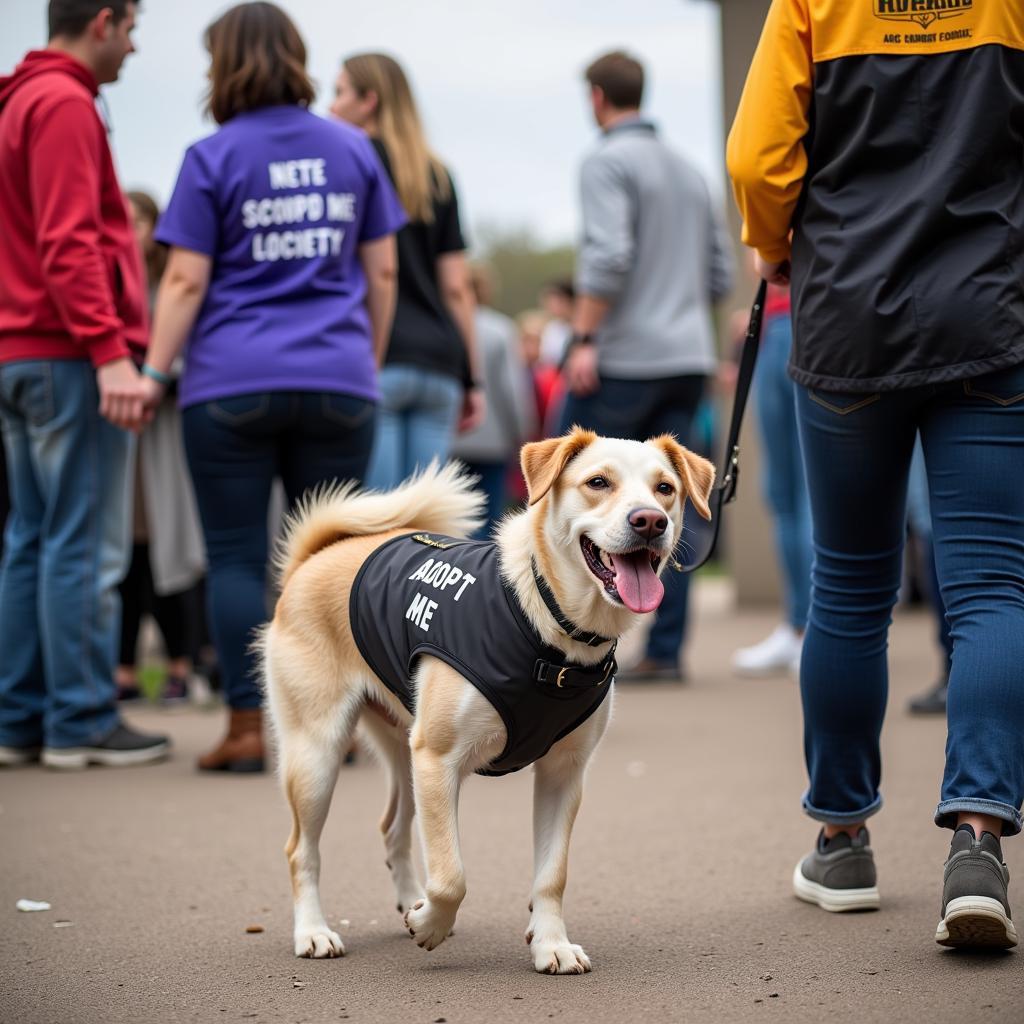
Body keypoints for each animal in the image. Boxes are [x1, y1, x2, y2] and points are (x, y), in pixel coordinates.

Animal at [260, 428, 716, 970]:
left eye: (665, 488)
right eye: (598, 483)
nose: (650, 520)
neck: (548, 627)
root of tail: (314, 558)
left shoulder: (563, 772)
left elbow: (552, 874)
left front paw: (550, 943)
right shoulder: (439, 759)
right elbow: (451, 874)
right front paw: (433, 924)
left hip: (403, 751)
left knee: (392, 829)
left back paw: (409, 902)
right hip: (318, 754)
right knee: (299, 850)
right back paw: (313, 932)